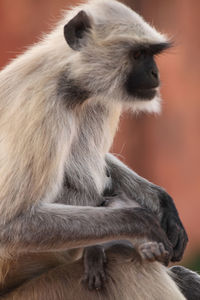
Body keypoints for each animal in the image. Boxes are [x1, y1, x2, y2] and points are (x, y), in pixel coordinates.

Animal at [0, 0, 198, 298]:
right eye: (138, 54)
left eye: (151, 54)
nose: (155, 73)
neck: (66, 78)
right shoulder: (42, 108)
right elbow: (10, 224)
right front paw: (142, 224)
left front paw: (163, 204)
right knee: (122, 260)